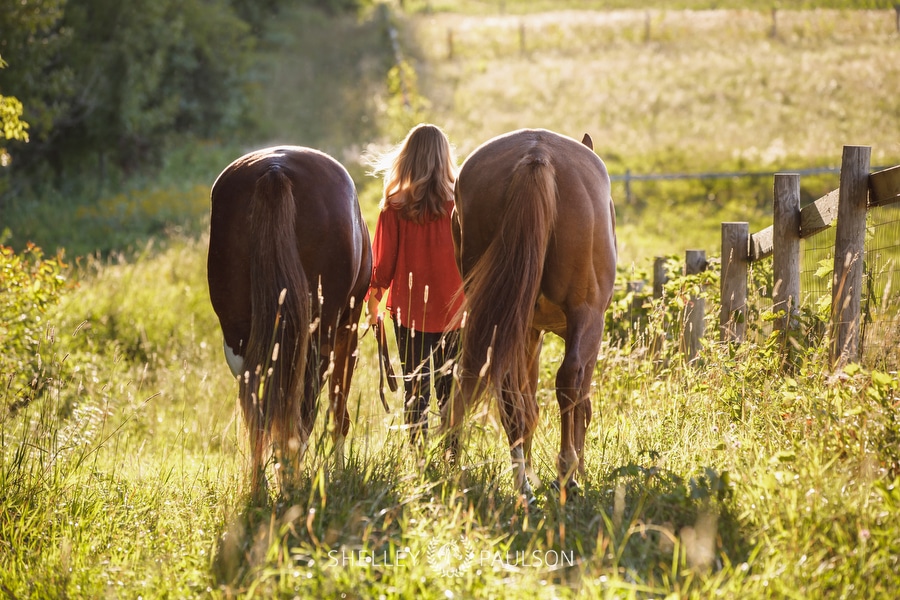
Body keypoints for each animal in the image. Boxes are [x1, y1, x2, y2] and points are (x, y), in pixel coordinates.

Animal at [207, 146, 370, 502]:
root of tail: (274, 170)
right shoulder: (347, 333)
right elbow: (338, 412)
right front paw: (339, 473)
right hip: (317, 342)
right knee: (302, 412)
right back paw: (291, 486)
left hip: (239, 338)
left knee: (259, 410)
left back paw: (260, 489)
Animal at [444, 127, 616, 502]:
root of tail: (537, 156)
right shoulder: (585, 329)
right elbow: (581, 402)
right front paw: (578, 468)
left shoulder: (529, 333)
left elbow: (528, 404)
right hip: (585, 316)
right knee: (568, 380)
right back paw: (565, 472)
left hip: (494, 319)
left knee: (489, 385)